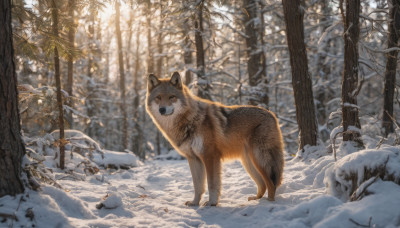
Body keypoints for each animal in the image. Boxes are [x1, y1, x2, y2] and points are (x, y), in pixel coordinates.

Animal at [146, 71, 284, 207]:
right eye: (158, 97)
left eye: (171, 97)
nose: (162, 109)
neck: (190, 120)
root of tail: (271, 114)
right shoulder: (193, 158)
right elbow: (197, 186)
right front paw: (195, 202)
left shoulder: (210, 156)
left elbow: (212, 184)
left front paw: (212, 202)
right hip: (248, 162)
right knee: (262, 184)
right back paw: (256, 199)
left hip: (258, 159)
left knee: (271, 183)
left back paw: (268, 203)